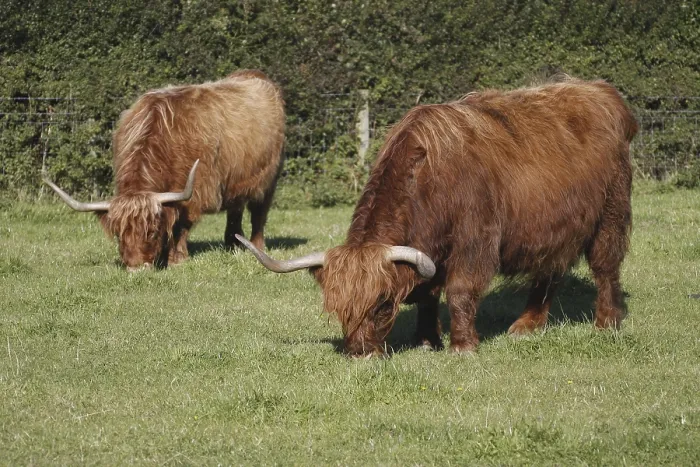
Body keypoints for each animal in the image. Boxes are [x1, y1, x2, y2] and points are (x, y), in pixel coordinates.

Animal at [44, 70, 286, 271]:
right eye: (119, 234)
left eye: (151, 231)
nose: (137, 269)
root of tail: (254, 74)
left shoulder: (194, 192)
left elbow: (181, 226)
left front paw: (176, 258)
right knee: (235, 210)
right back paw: (232, 245)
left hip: (268, 179)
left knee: (258, 213)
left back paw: (257, 247)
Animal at [237, 77, 638, 357]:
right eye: (338, 309)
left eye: (384, 305)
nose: (360, 354)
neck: (430, 180)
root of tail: (600, 91)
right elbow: (427, 293)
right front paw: (428, 339)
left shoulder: (476, 240)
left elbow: (459, 291)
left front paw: (462, 346)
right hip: (553, 226)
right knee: (550, 268)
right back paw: (527, 325)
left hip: (611, 213)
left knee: (605, 266)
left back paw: (607, 322)